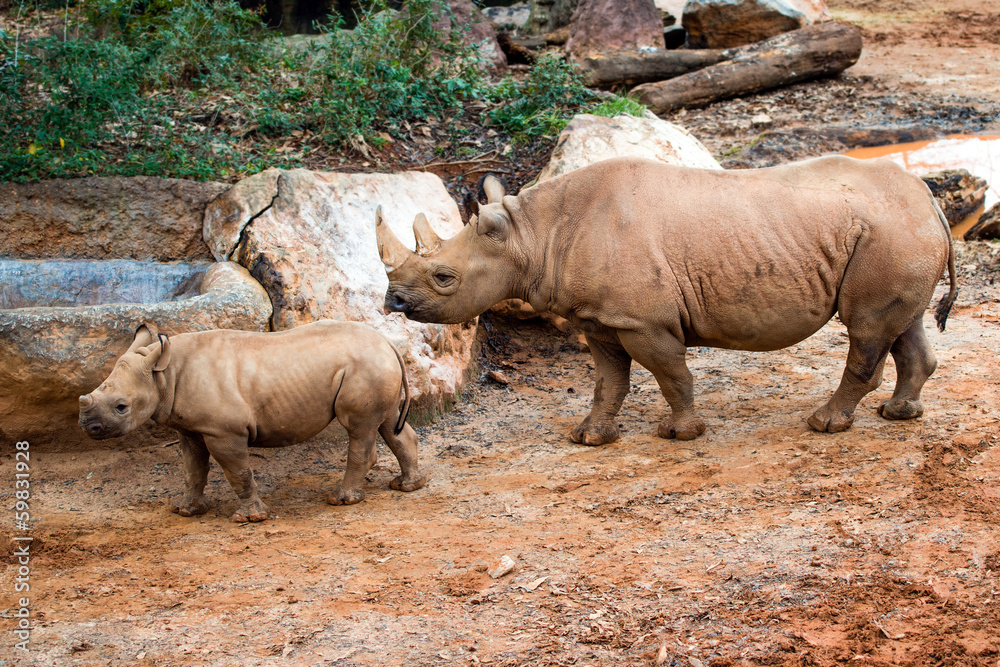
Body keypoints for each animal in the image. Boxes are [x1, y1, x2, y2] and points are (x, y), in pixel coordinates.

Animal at [79, 321, 427, 522]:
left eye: (121, 407)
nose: (88, 428)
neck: (163, 374)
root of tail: (388, 343)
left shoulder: (223, 430)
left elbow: (237, 471)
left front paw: (249, 518)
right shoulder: (191, 428)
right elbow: (193, 470)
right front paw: (185, 511)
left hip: (365, 367)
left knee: (360, 427)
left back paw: (340, 501)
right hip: (376, 365)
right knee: (388, 423)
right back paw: (408, 486)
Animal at [376, 156, 957, 444]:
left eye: (444, 278)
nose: (394, 302)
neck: (532, 236)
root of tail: (928, 197)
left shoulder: (642, 320)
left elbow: (671, 374)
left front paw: (682, 434)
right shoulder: (600, 318)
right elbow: (609, 381)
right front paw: (589, 438)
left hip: (888, 235)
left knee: (866, 328)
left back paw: (824, 425)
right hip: (894, 234)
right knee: (900, 325)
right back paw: (899, 414)